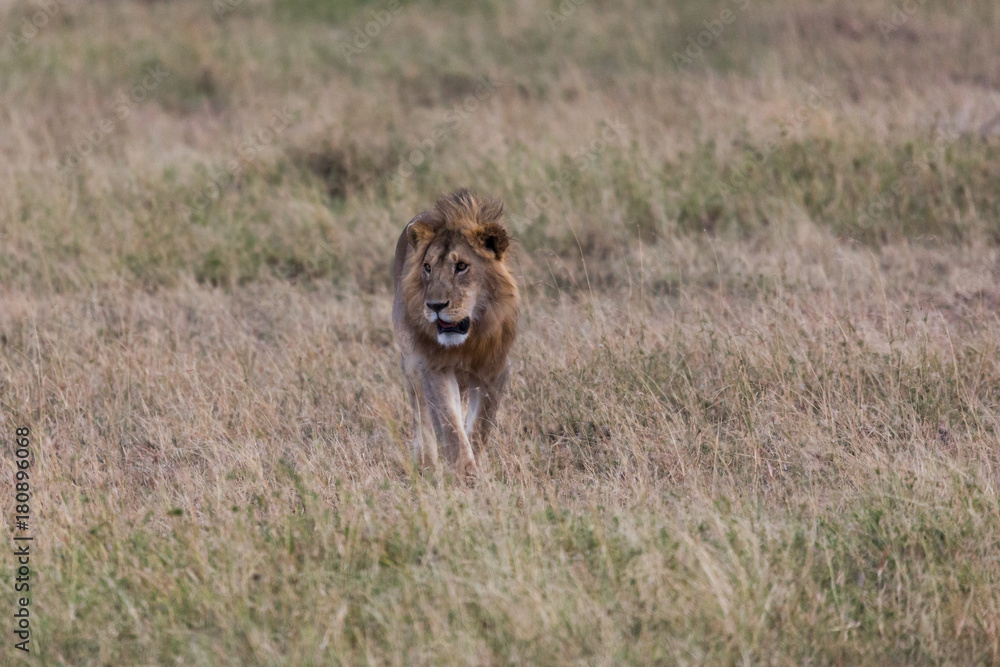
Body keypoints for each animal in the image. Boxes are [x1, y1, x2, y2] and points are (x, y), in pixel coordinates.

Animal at [392, 189, 519, 478]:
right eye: (427, 267)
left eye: (461, 266)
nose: (435, 306)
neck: (469, 339)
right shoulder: (433, 366)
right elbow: (449, 425)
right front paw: (464, 473)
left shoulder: (496, 369)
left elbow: (481, 425)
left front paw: (475, 467)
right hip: (411, 364)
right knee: (421, 415)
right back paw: (426, 463)